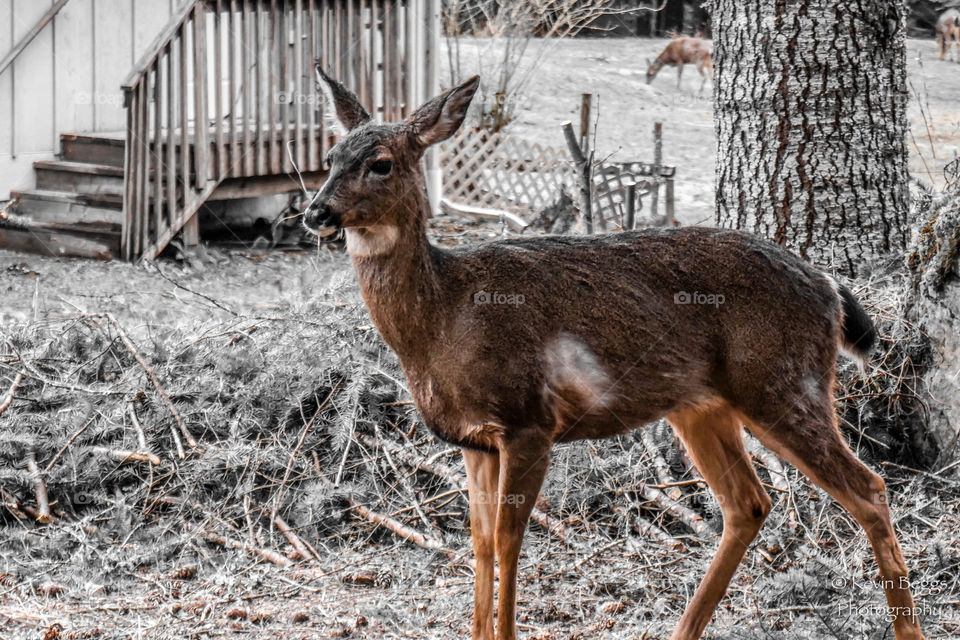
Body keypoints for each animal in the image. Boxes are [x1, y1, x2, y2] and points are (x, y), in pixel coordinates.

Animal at [308, 66, 924, 640]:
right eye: (330, 155)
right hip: (702, 405)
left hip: (782, 382)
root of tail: (829, 288)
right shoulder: (472, 439)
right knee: (748, 503)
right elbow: (478, 541)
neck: (443, 318)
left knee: (868, 489)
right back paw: (683, 629)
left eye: (381, 163)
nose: (316, 212)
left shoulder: (529, 421)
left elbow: (508, 540)